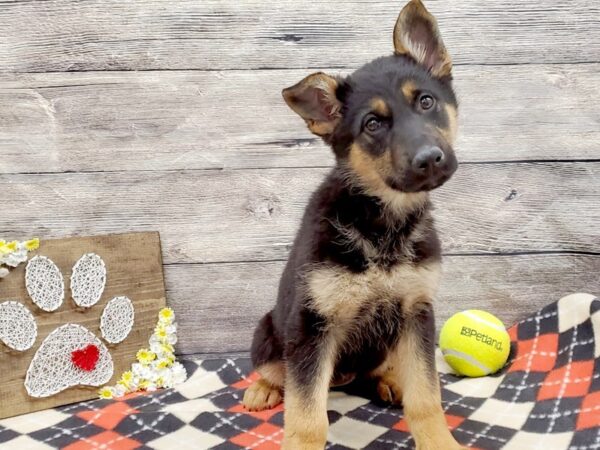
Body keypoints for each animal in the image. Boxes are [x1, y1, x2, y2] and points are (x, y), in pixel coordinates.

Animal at [243, 1, 464, 448]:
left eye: (426, 102)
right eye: (372, 124)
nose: (430, 159)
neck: (382, 223)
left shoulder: (417, 313)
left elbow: (426, 396)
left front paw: (439, 440)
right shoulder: (313, 325)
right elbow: (306, 415)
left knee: (380, 372)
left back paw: (390, 381)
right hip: (269, 330)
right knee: (275, 371)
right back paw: (263, 388)